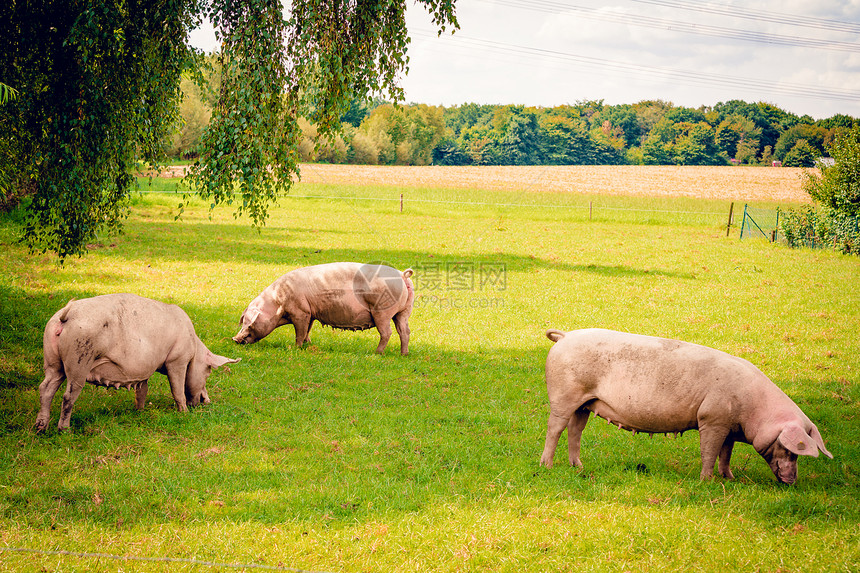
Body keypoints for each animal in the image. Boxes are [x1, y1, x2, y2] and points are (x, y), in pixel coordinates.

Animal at [34, 292, 239, 432]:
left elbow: (142, 390)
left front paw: (139, 411)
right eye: (208, 370)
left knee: (45, 388)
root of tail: (66, 315)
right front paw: (184, 413)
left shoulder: (143, 371)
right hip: (79, 359)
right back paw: (64, 430)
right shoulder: (177, 360)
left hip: (52, 361)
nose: (207, 401)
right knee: (67, 396)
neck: (193, 346)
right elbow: (178, 390)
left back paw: (40, 428)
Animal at [232, 264, 414, 354]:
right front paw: (309, 344)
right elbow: (307, 330)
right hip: (404, 311)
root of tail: (402, 275)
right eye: (243, 321)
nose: (234, 339)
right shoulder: (310, 313)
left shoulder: (300, 312)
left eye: (250, 323)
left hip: (382, 312)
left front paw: (295, 348)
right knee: (404, 331)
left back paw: (376, 353)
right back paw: (403, 354)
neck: (277, 302)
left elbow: (300, 331)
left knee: (387, 332)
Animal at [540, 326, 828, 482]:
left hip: (585, 403)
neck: (754, 410)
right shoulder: (712, 418)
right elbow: (709, 451)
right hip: (564, 395)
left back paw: (578, 466)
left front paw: (730, 478)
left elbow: (726, 453)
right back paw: (546, 466)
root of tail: (565, 336)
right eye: (791, 449)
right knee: (555, 428)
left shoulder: (728, 426)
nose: (792, 481)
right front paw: (706, 481)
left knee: (575, 430)